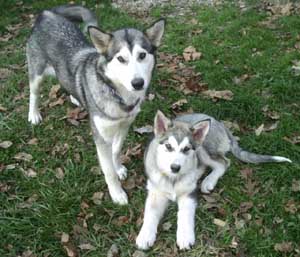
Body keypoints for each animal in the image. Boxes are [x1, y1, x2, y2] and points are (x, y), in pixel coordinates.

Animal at [26, 4, 165, 204]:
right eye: (121, 59)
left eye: (142, 55)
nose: (138, 83)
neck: (119, 96)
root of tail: (47, 14)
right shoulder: (101, 137)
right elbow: (108, 172)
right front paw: (117, 193)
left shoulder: (124, 126)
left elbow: (116, 150)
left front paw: (118, 167)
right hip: (36, 74)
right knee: (34, 93)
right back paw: (33, 114)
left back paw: (75, 98)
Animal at [136, 109, 290, 248]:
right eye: (168, 146)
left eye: (186, 149)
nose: (175, 167)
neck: (173, 178)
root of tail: (217, 121)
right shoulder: (155, 192)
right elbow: (150, 213)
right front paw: (145, 236)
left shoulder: (189, 194)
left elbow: (185, 215)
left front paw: (185, 237)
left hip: (203, 149)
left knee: (224, 162)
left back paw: (208, 181)